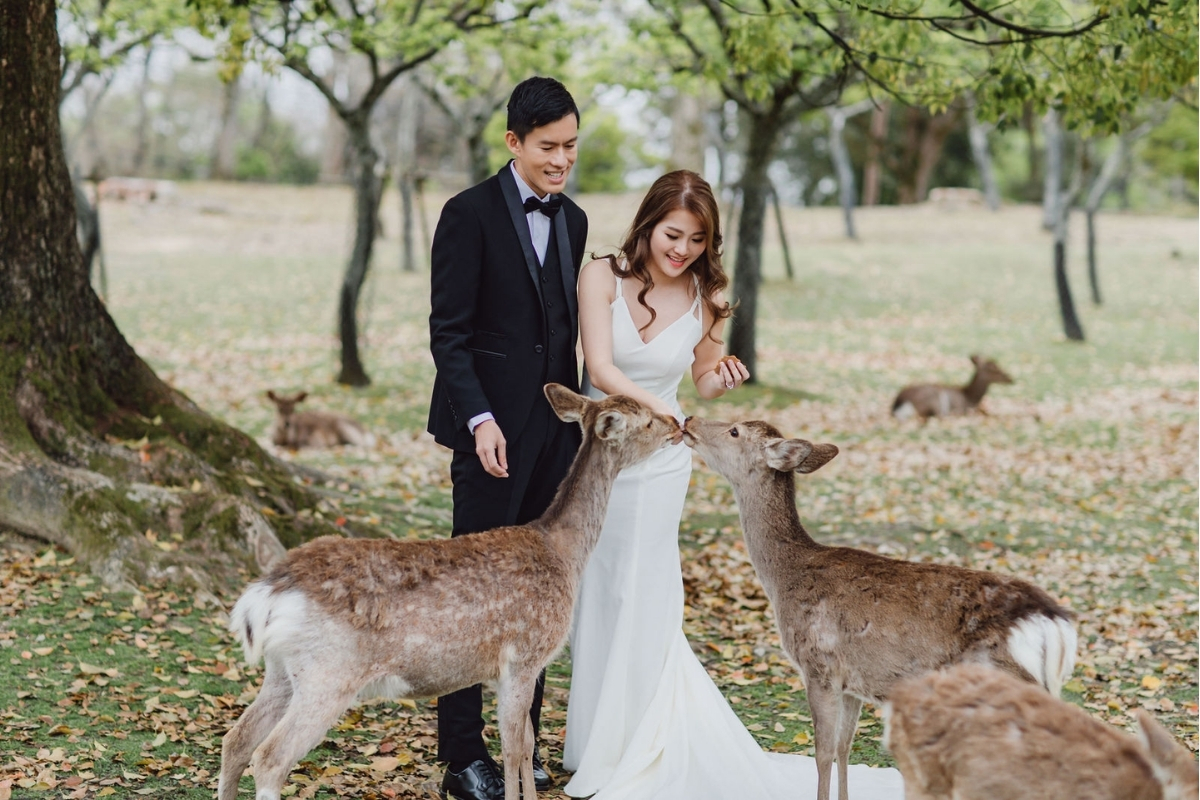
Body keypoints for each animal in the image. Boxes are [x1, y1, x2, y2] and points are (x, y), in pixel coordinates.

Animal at [217, 383, 686, 796]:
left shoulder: (509, 669)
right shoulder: (526, 655)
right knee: (271, 757)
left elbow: (522, 745)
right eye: (646, 420)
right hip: (329, 673)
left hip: (282, 670)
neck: (564, 552)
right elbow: (515, 748)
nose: (676, 424)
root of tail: (267, 594)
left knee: (235, 739)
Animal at [686, 417, 1080, 800]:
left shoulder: (818, 664)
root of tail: (1053, 622)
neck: (785, 578)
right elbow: (844, 747)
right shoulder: (851, 681)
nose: (689, 420)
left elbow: (822, 753)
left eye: (735, 430)